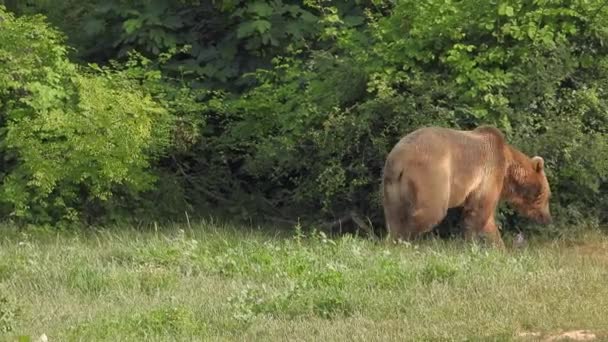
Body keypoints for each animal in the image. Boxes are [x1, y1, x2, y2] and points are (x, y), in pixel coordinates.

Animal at [382, 124, 552, 247]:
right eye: (548, 196)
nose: (548, 218)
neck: (508, 171)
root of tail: (399, 159)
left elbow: (485, 218)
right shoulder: (490, 172)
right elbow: (480, 212)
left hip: (391, 186)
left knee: (394, 216)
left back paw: (393, 241)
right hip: (431, 174)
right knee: (430, 212)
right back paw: (406, 240)